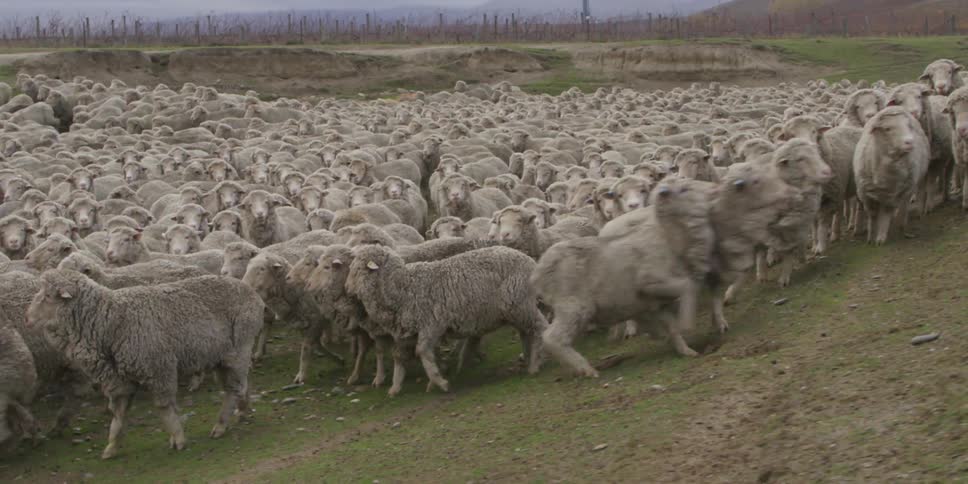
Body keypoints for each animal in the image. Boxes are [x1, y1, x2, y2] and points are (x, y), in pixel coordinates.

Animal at [26, 270, 264, 458]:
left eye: (47, 297)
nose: (28, 318)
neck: (108, 320)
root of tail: (253, 293)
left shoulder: (159, 369)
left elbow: (164, 409)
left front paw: (178, 438)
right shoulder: (119, 380)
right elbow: (119, 416)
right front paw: (111, 447)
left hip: (239, 346)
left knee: (233, 388)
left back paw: (221, 425)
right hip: (222, 357)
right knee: (241, 382)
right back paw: (242, 409)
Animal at [346, 245, 547, 396]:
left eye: (356, 269)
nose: (347, 289)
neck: (403, 287)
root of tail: (530, 261)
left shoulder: (431, 325)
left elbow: (423, 351)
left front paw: (440, 381)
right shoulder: (407, 332)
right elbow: (399, 356)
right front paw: (396, 387)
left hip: (520, 304)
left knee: (540, 328)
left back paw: (535, 364)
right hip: (516, 309)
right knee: (525, 332)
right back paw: (528, 358)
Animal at [853, 107, 930, 245]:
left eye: (908, 126)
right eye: (888, 128)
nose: (909, 142)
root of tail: (895, 107)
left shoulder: (893, 193)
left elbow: (886, 214)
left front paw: (880, 237)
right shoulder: (866, 195)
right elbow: (872, 215)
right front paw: (870, 236)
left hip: (909, 186)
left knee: (905, 204)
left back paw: (903, 223)